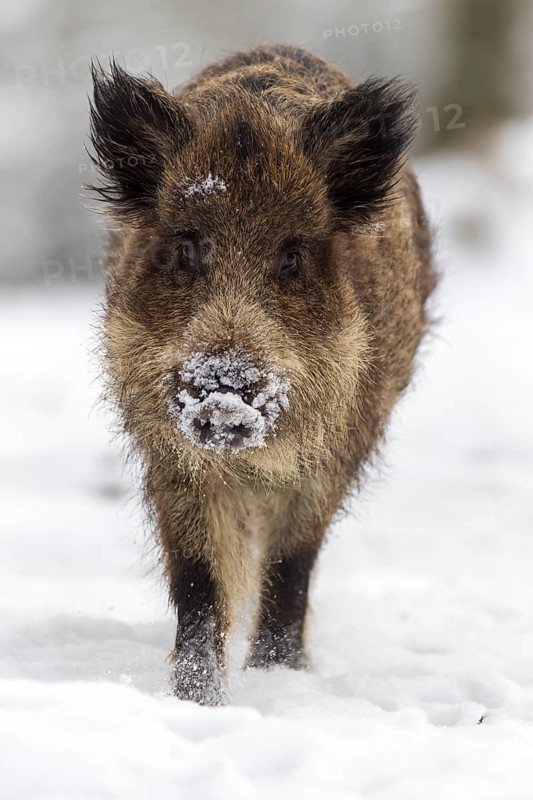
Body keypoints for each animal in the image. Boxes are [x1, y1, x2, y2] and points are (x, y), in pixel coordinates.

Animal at [88, 44, 436, 705]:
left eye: (292, 255)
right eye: (187, 248)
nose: (225, 393)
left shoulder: (334, 454)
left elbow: (290, 564)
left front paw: (277, 678)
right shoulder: (170, 455)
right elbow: (199, 577)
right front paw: (197, 700)